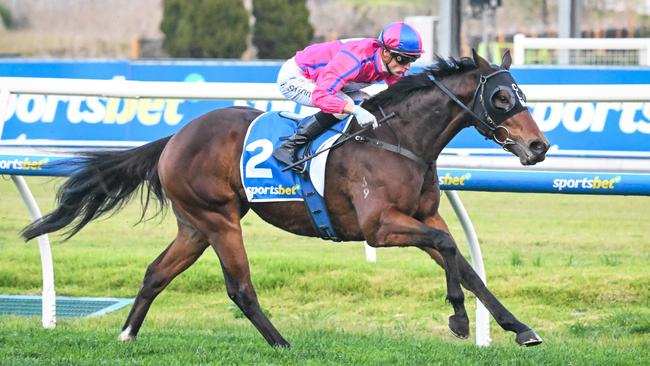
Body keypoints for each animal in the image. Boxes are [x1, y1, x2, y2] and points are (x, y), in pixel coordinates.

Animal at [21, 50, 548, 348]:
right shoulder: (380, 226)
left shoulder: (424, 217)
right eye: (502, 98)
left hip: (195, 226)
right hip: (220, 221)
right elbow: (449, 249)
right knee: (240, 288)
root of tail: (176, 136)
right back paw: (281, 344)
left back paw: (128, 333)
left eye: (522, 95)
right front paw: (459, 320)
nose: (539, 146)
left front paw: (518, 327)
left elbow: (464, 262)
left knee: (156, 273)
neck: (398, 139)